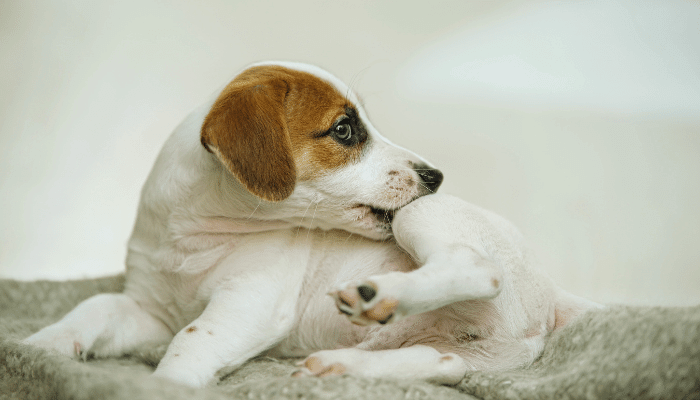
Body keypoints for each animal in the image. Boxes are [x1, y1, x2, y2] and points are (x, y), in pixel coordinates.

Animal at [24, 62, 600, 388]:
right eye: (344, 130)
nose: (435, 176)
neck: (197, 237)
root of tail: (551, 294)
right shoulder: (149, 310)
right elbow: (95, 307)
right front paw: (41, 346)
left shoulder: (251, 302)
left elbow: (192, 338)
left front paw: (167, 384)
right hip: (466, 351)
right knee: (442, 365)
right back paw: (341, 367)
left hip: (423, 218)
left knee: (478, 268)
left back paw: (379, 295)